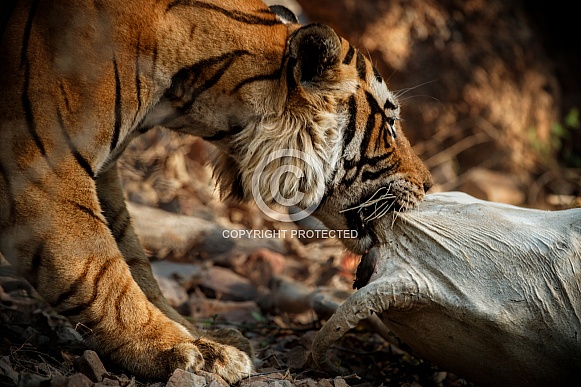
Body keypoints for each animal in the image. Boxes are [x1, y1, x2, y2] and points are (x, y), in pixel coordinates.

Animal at [0, 0, 430, 384]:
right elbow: (98, 271)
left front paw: (200, 336)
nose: (428, 184)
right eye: (390, 124)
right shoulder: (46, 168)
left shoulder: (103, 173)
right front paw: (181, 350)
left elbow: (132, 259)